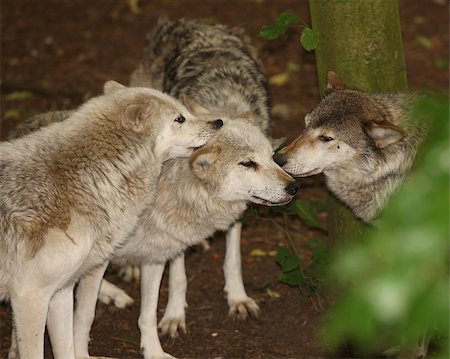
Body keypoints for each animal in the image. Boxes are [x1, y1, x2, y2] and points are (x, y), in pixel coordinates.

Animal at [0, 82, 221, 359]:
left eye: (185, 111)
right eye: (179, 118)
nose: (218, 122)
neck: (88, 180)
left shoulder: (59, 291)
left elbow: (68, 345)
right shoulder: (29, 296)